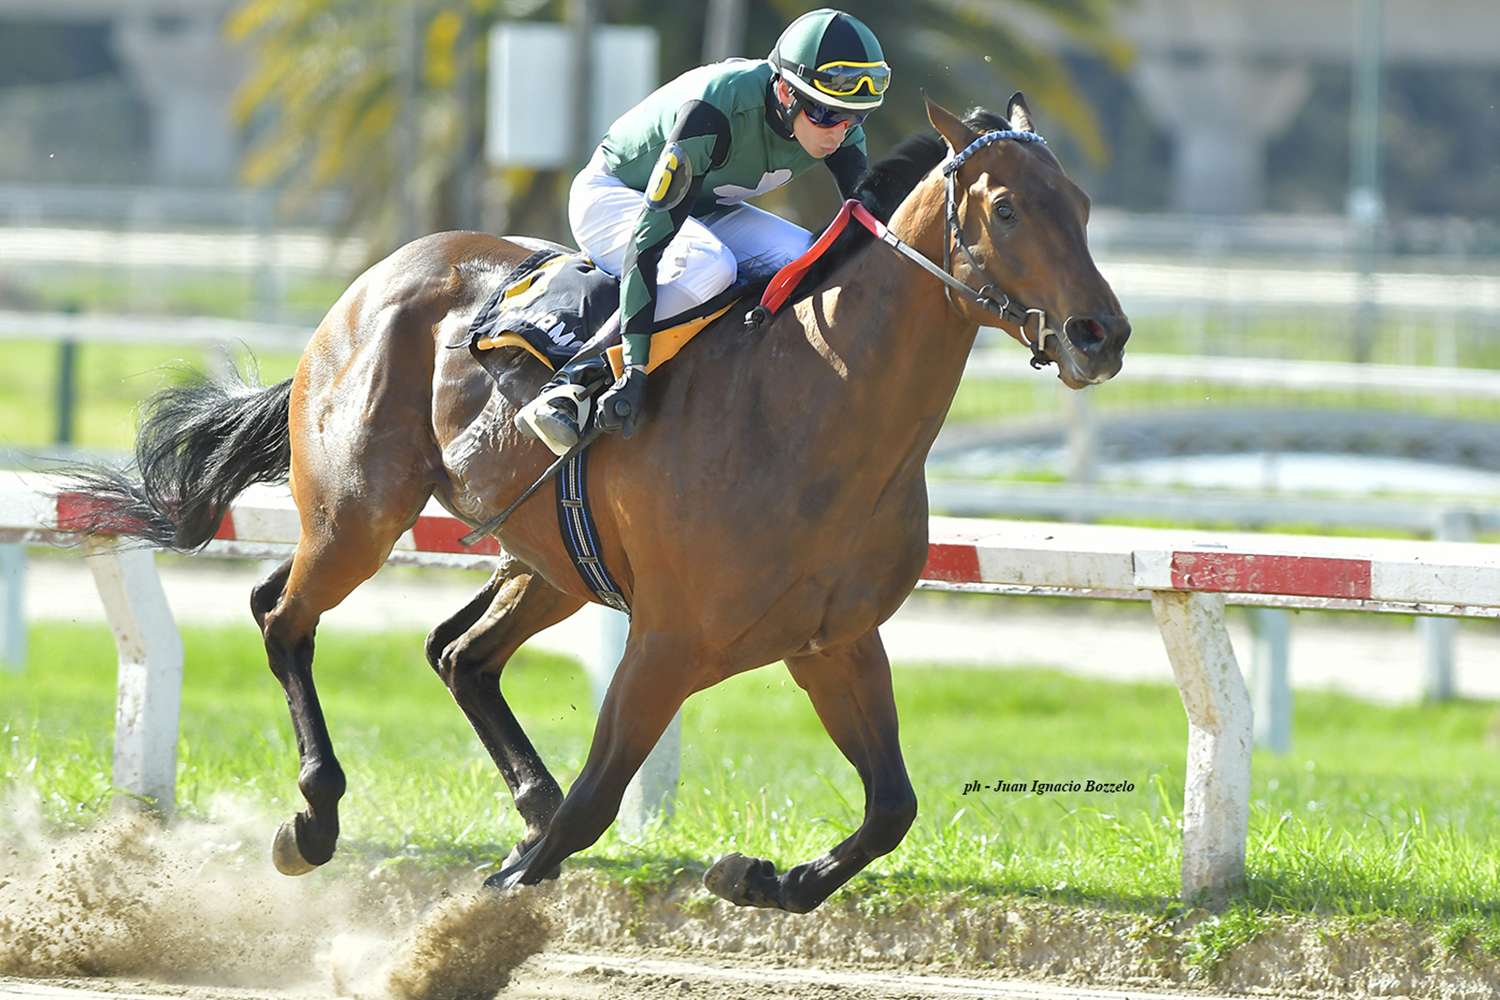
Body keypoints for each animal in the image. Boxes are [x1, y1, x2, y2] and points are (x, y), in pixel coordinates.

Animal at [68, 95, 1128, 914]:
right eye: (1005, 208)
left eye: (1080, 203)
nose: (1101, 335)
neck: (816, 407)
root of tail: (372, 283)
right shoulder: (668, 644)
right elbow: (595, 803)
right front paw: (483, 908)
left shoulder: (833, 641)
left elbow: (891, 807)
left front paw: (761, 878)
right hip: (357, 515)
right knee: (283, 616)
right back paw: (314, 817)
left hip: (550, 560)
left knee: (456, 652)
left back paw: (513, 794)